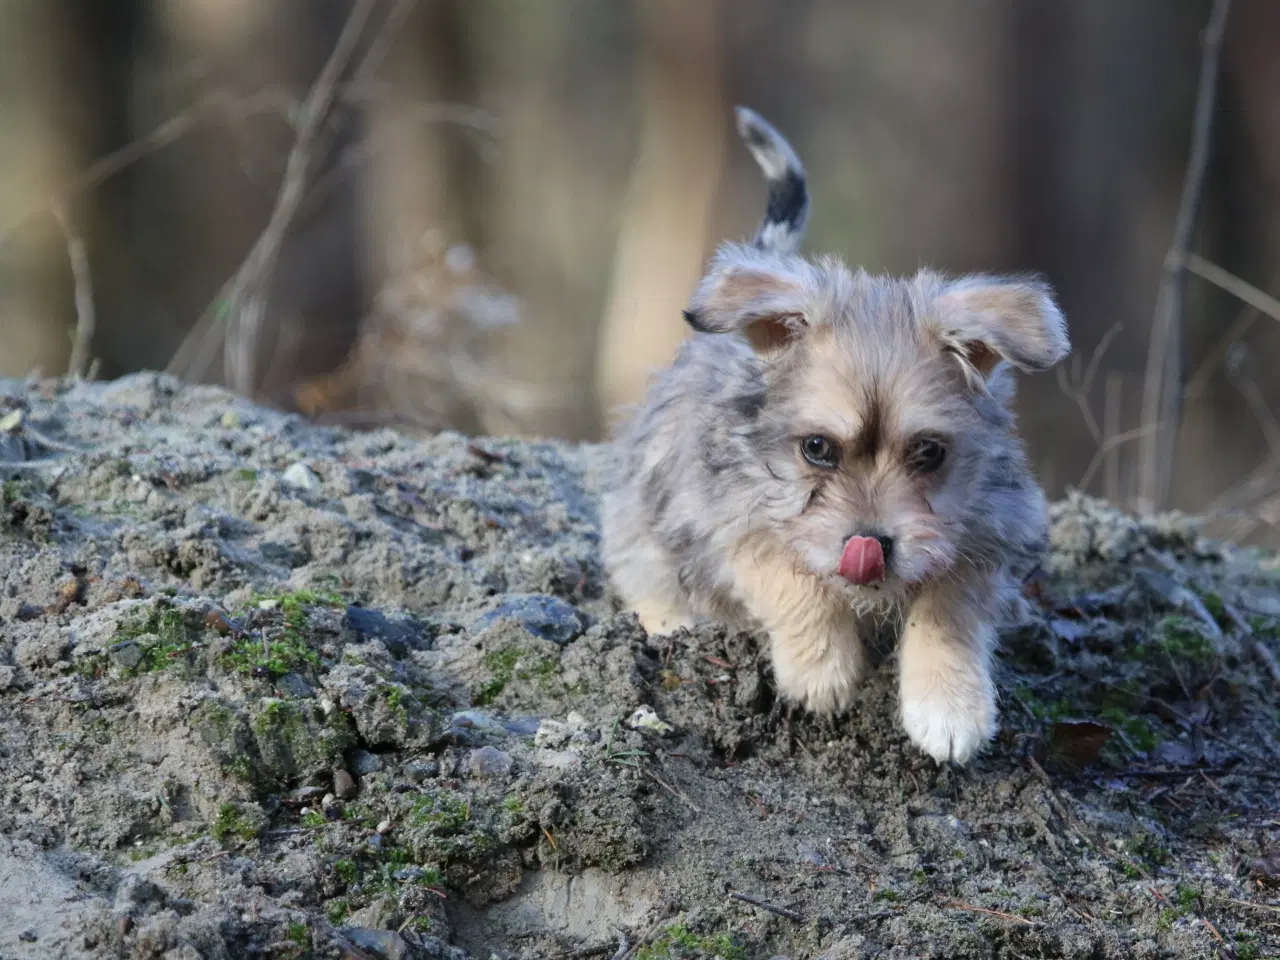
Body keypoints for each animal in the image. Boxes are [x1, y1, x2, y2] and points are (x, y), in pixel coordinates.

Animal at [601, 106, 1070, 768]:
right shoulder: (730, 521)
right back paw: (670, 621)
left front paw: (949, 707)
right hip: (643, 526)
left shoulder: (984, 536)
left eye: (929, 452)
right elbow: (791, 574)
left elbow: (945, 610)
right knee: (646, 570)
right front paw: (822, 670)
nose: (870, 544)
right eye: (817, 448)